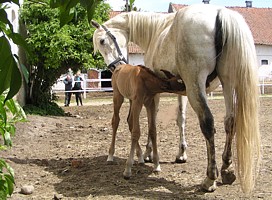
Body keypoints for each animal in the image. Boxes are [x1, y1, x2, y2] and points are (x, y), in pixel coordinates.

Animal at [92, 3, 262, 193]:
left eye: (102, 41)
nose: (113, 68)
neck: (156, 30)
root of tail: (220, 13)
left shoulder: (156, 93)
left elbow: (152, 122)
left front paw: (149, 154)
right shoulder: (183, 91)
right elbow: (181, 118)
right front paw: (181, 153)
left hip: (198, 85)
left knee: (208, 124)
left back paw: (210, 178)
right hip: (227, 84)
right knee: (230, 121)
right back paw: (226, 168)